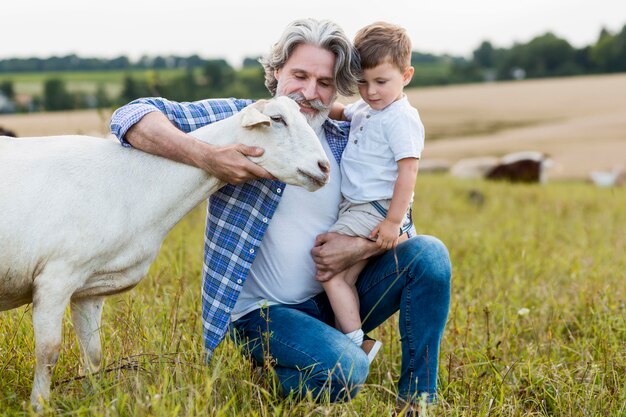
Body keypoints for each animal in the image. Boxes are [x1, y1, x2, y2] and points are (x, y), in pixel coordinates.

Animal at [0, 96, 332, 412]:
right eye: (277, 119)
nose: (323, 167)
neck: (136, 184)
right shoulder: (56, 278)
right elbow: (48, 352)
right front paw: (39, 406)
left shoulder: (88, 289)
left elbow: (93, 354)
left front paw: (92, 401)